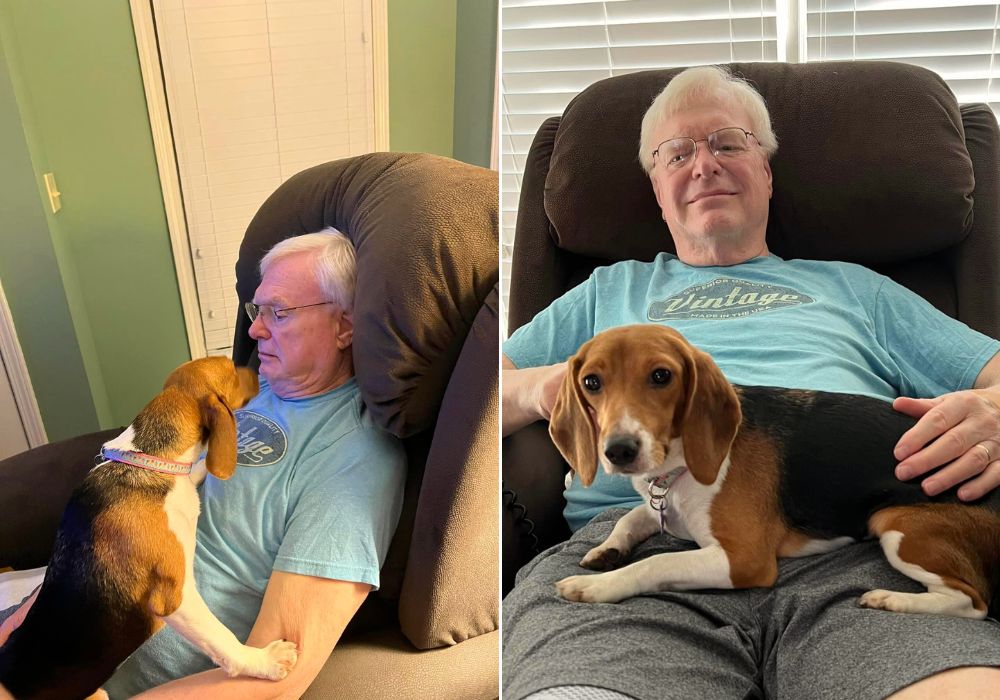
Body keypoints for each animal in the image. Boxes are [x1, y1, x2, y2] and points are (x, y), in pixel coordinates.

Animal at [0, 358, 298, 696]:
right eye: (231, 369)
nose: (256, 366)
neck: (150, 459)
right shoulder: (175, 597)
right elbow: (221, 638)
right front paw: (262, 661)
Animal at [552, 324, 996, 616]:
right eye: (591, 382)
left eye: (661, 376)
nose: (619, 450)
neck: (678, 467)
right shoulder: (661, 507)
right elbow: (630, 517)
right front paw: (608, 549)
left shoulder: (743, 560)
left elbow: (656, 563)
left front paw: (597, 586)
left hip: (894, 524)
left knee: (971, 602)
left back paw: (891, 599)